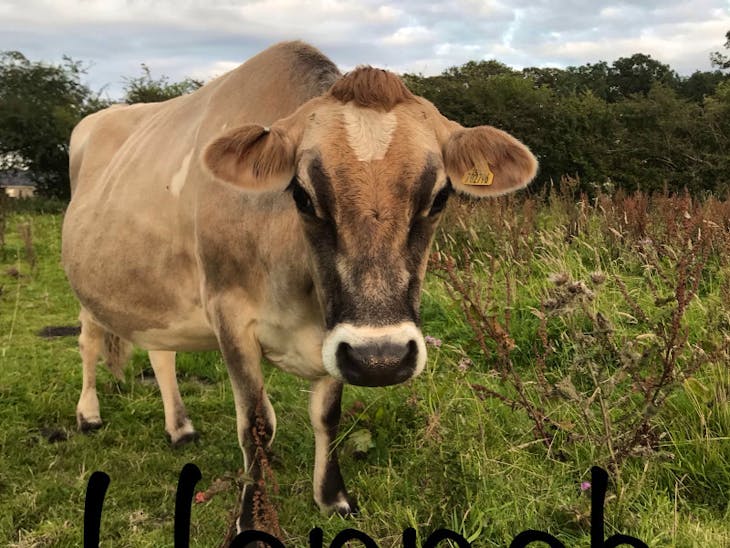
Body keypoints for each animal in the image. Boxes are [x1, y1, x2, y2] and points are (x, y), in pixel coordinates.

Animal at [62, 41, 537, 531]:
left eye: (439, 197)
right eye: (303, 196)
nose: (382, 360)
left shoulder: (334, 337)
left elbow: (326, 416)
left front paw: (333, 498)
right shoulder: (228, 313)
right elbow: (256, 423)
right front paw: (252, 517)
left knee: (162, 352)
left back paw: (180, 427)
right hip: (87, 285)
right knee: (89, 341)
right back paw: (89, 415)